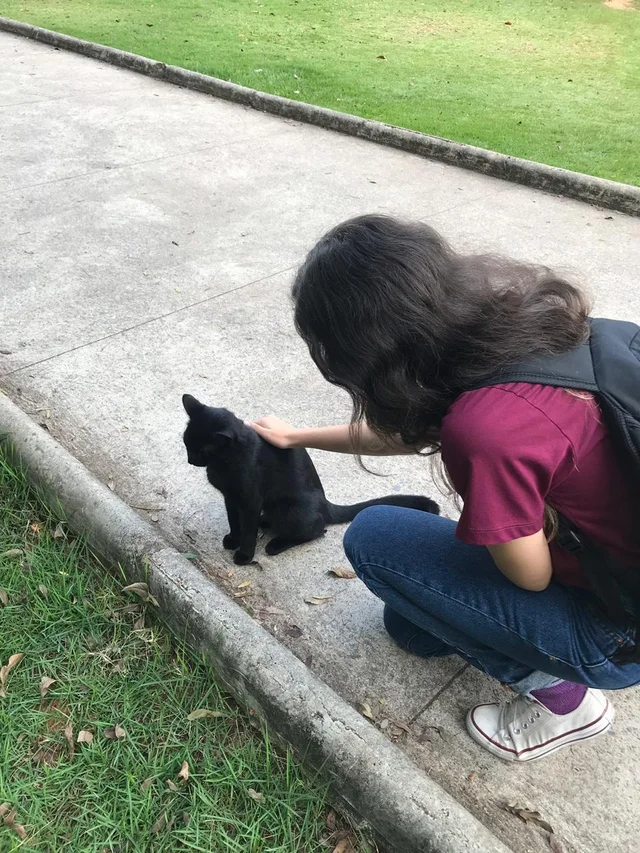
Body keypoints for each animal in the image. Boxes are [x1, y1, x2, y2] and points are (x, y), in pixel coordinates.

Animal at [182, 394, 438, 564]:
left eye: (203, 450)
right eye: (186, 442)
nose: (190, 460)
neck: (223, 464)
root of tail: (325, 504)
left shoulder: (250, 500)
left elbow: (248, 530)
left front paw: (244, 554)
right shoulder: (230, 498)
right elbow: (235, 521)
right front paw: (232, 539)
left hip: (288, 510)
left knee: (316, 530)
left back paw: (275, 544)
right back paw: (265, 523)